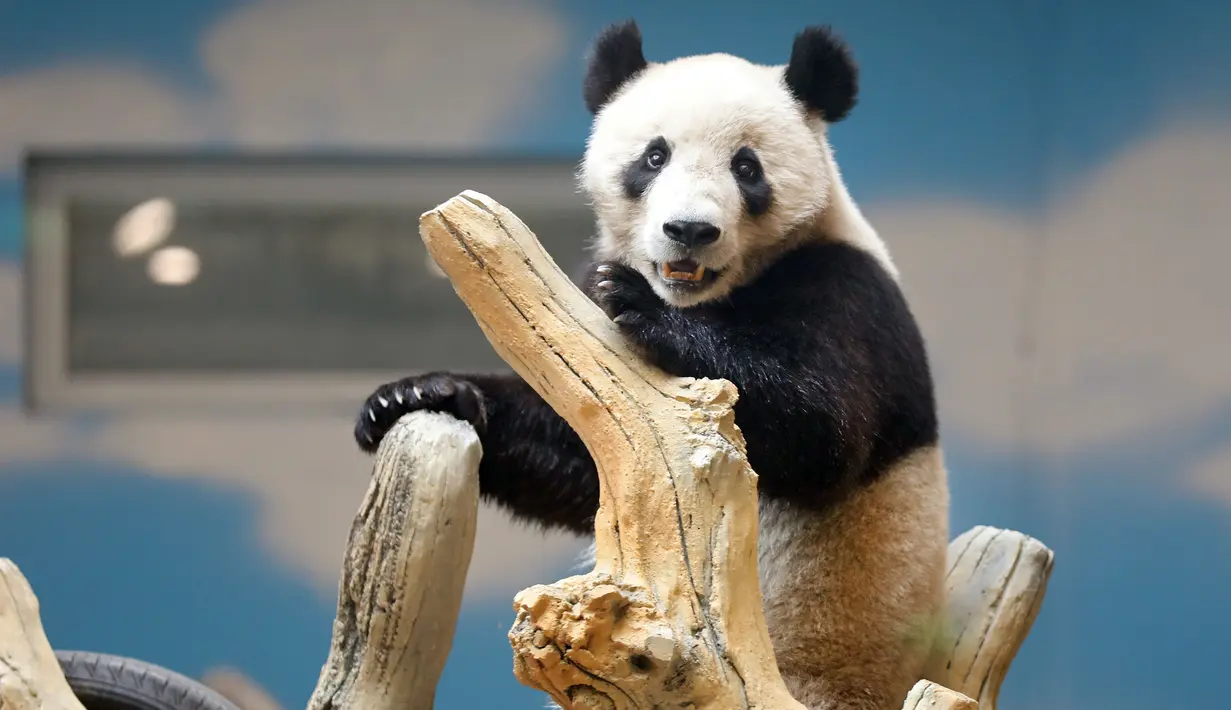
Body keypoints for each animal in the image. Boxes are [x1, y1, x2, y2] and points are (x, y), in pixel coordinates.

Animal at [354, 20, 950, 710]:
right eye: (654, 156)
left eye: (747, 166)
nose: (689, 230)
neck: (714, 295)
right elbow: (587, 452)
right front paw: (415, 395)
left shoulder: (848, 292)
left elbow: (822, 430)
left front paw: (641, 307)